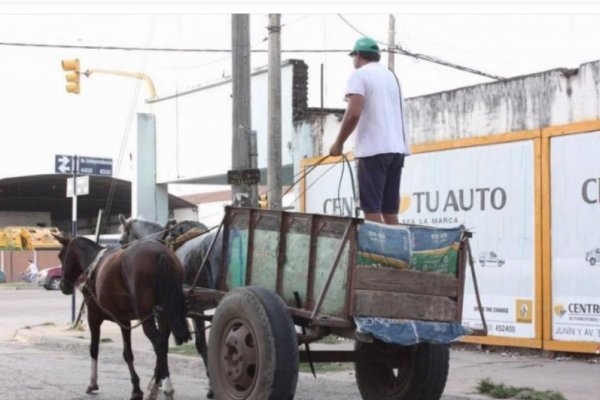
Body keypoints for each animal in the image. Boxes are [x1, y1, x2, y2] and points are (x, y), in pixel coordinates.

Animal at [53, 234, 191, 400]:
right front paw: (136, 388)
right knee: (163, 345)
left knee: (158, 343)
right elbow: (128, 354)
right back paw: (156, 385)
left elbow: (95, 349)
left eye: (61, 256)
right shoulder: (124, 320)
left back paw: (167, 387)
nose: (62, 285)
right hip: (165, 312)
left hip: (146, 315)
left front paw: (93, 383)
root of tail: (161, 252)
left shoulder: (94, 317)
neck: (93, 265)